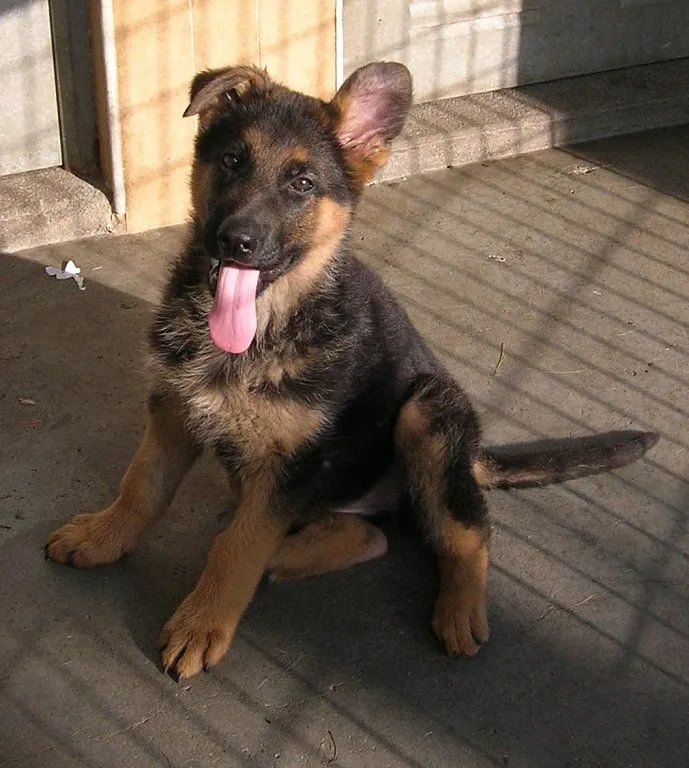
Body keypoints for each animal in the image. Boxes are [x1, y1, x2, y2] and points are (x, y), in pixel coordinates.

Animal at [45, 64, 660, 680]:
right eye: (232, 161)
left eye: (302, 184)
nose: (235, 241)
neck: (266, 324)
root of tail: (473, 453)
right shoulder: (173, 407)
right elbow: (142, 486)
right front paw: (103, 535)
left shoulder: (291, 462)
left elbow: (238, 547)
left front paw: (202, 621)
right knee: (366, 535)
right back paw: (291, 547)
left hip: (427, 411)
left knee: (466, 531)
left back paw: (457, 608)